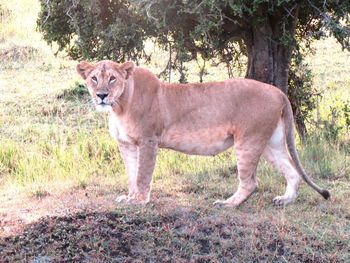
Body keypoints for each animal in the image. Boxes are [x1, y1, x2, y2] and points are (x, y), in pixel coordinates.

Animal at [77, 60, 330, 208]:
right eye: (94, 78)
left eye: (112, 78)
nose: (101, 95)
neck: (119, 106)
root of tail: (278, 91)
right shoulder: (127, 144)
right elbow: (131, 174)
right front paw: (129, 197)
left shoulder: (148, 140)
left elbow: (142, 175)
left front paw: (138, 201)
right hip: (271, 143)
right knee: (292, 171)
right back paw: (285, 200)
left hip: (249, 140)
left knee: (250, 183)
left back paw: (227, 204)